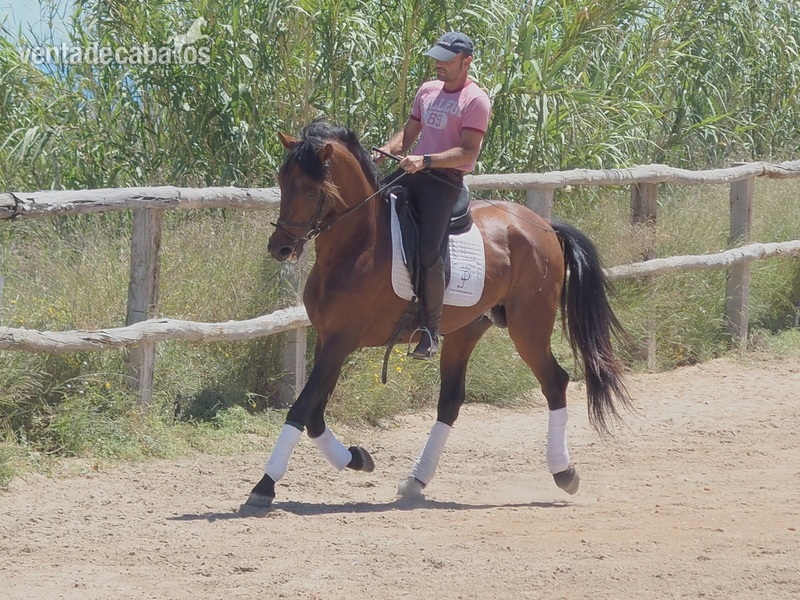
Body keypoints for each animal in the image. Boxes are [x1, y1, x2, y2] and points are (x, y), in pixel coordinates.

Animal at [245, 121, 632, 508]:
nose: (280, 248)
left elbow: (300, 409)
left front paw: (264, 486)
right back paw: (416, 480)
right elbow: (313, 415)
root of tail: (544, 226)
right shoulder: (328, 340)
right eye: (282, 181)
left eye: (312, 191)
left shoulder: (341, 341)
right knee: (450, 402)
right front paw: (357, 458)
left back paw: (564, 473)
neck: (357, 246)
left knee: (554, 383)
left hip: (529, 327)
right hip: (466, 330)